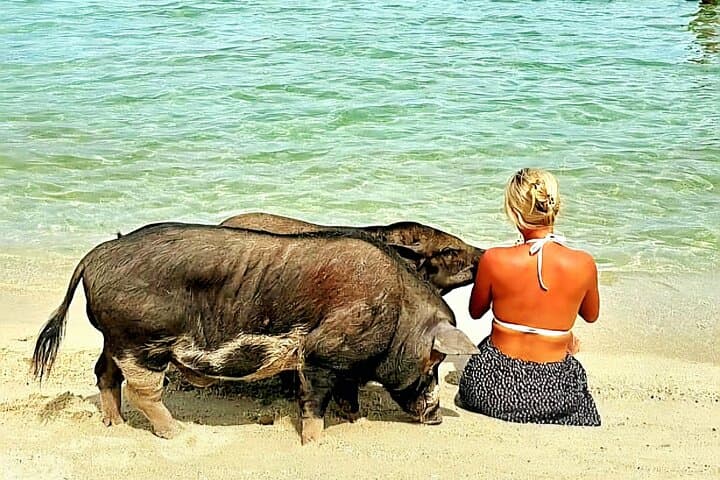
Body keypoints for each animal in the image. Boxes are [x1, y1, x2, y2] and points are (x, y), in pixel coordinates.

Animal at [32, 223, 478, 444]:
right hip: (141, 340)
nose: (437, 418)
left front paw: (353, 420)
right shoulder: (319, 354)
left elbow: (345, 394)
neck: (398, 312)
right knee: (143, 390)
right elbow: (314, 403)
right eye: (434, 361)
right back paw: (178, 433)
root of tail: (94, 256)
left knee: (104, 374)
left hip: (116, 339)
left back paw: (116, 425)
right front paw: (314, 444)